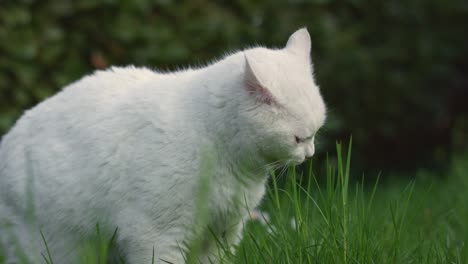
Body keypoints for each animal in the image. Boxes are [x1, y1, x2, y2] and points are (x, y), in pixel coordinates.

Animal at [0, 27, 326, 262]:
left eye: (315, 133)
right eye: (298, 138)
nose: (309, 154)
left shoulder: (221, 234)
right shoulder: (157, 235)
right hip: (49, 247)